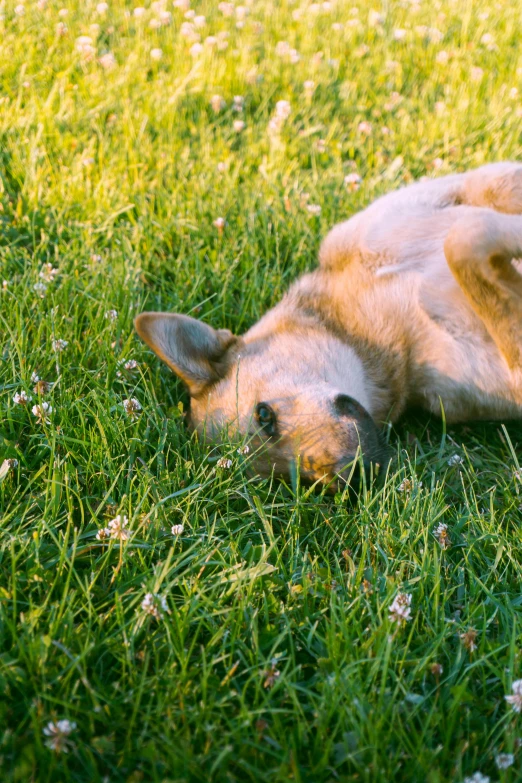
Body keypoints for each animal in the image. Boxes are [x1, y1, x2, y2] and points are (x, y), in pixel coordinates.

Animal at [133, 162, 520, 486]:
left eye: (264, 416)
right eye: (289, 480)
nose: (349, 481)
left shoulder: (477, 183)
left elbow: (468, 232)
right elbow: (466, 243)